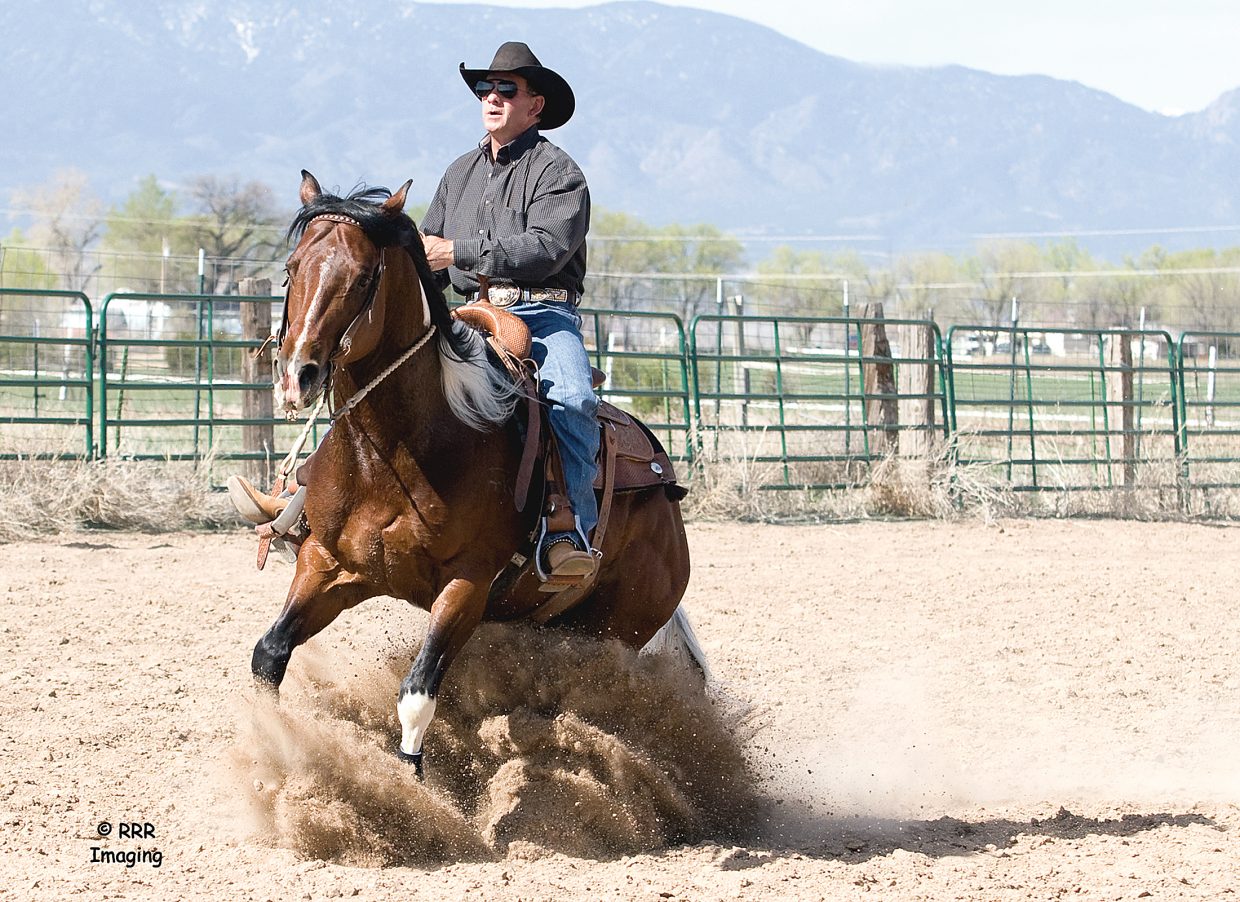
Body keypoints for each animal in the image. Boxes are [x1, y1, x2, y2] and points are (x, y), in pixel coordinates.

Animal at [251, 171, 694, 774]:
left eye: (364, 276)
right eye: (293, 266)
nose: (298, 374)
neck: (397, 453)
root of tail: (665, 485)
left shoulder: (468, 582)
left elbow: (417, 695)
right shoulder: (330, 563)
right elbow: (269, 655)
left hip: (619, 630)